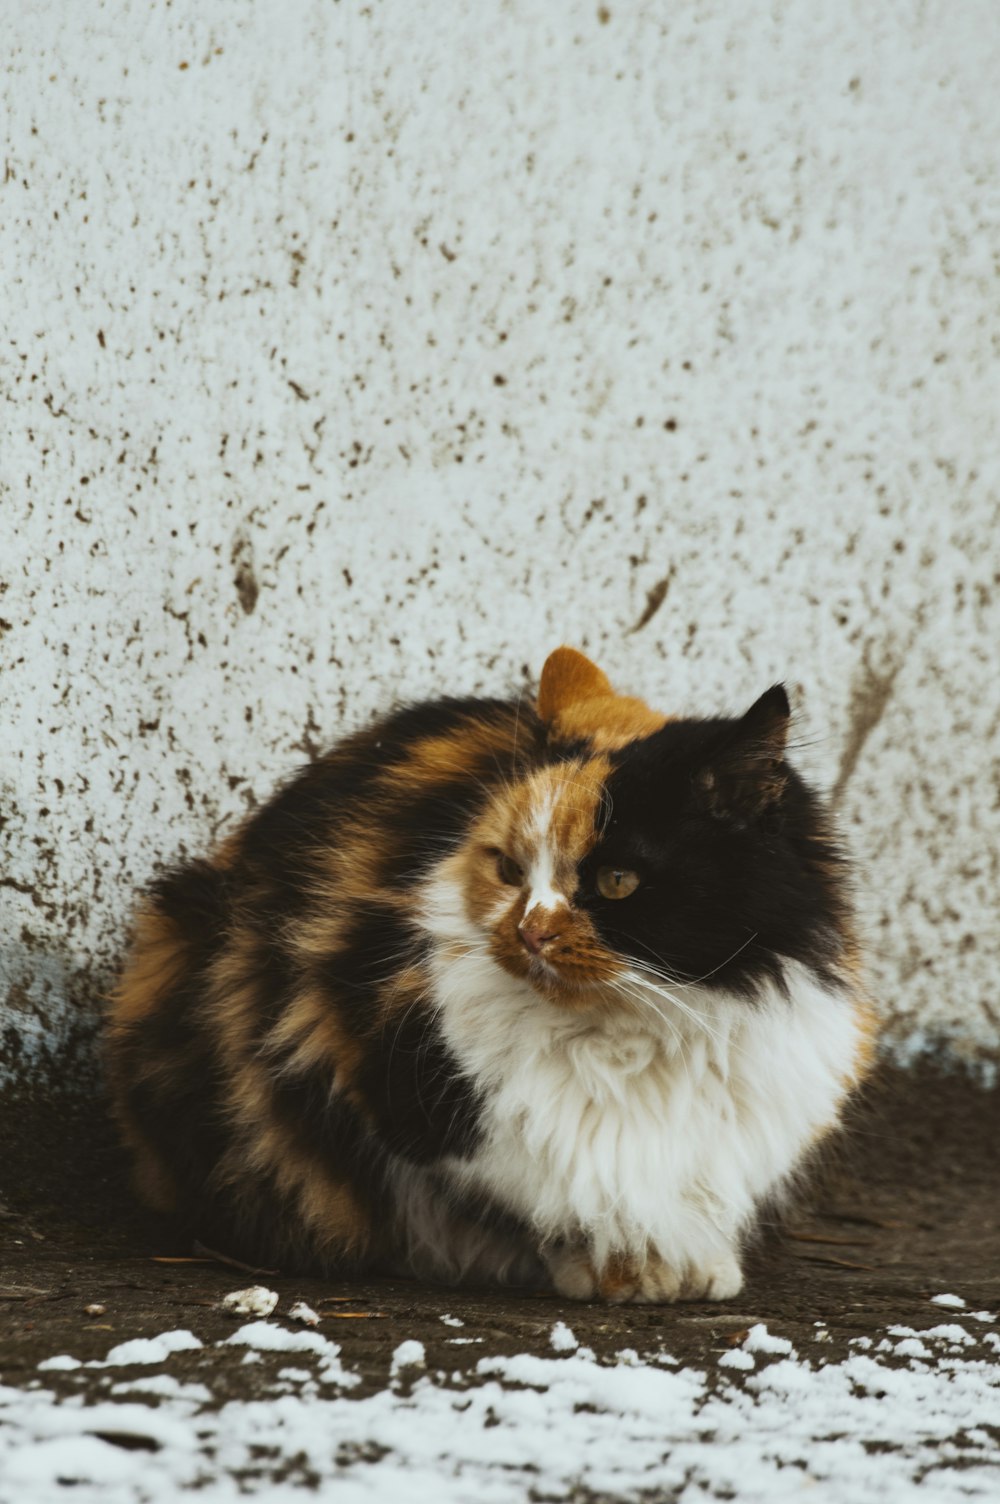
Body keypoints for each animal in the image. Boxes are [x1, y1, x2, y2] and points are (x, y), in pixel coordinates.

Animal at [107, 649, 872, 1305]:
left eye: (617, 881)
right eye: (508, 869)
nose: (529, 932)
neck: (639, 1027)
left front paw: (692, 1268)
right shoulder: (416, 1101)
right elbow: (551, 1206)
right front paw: (617, 1272)